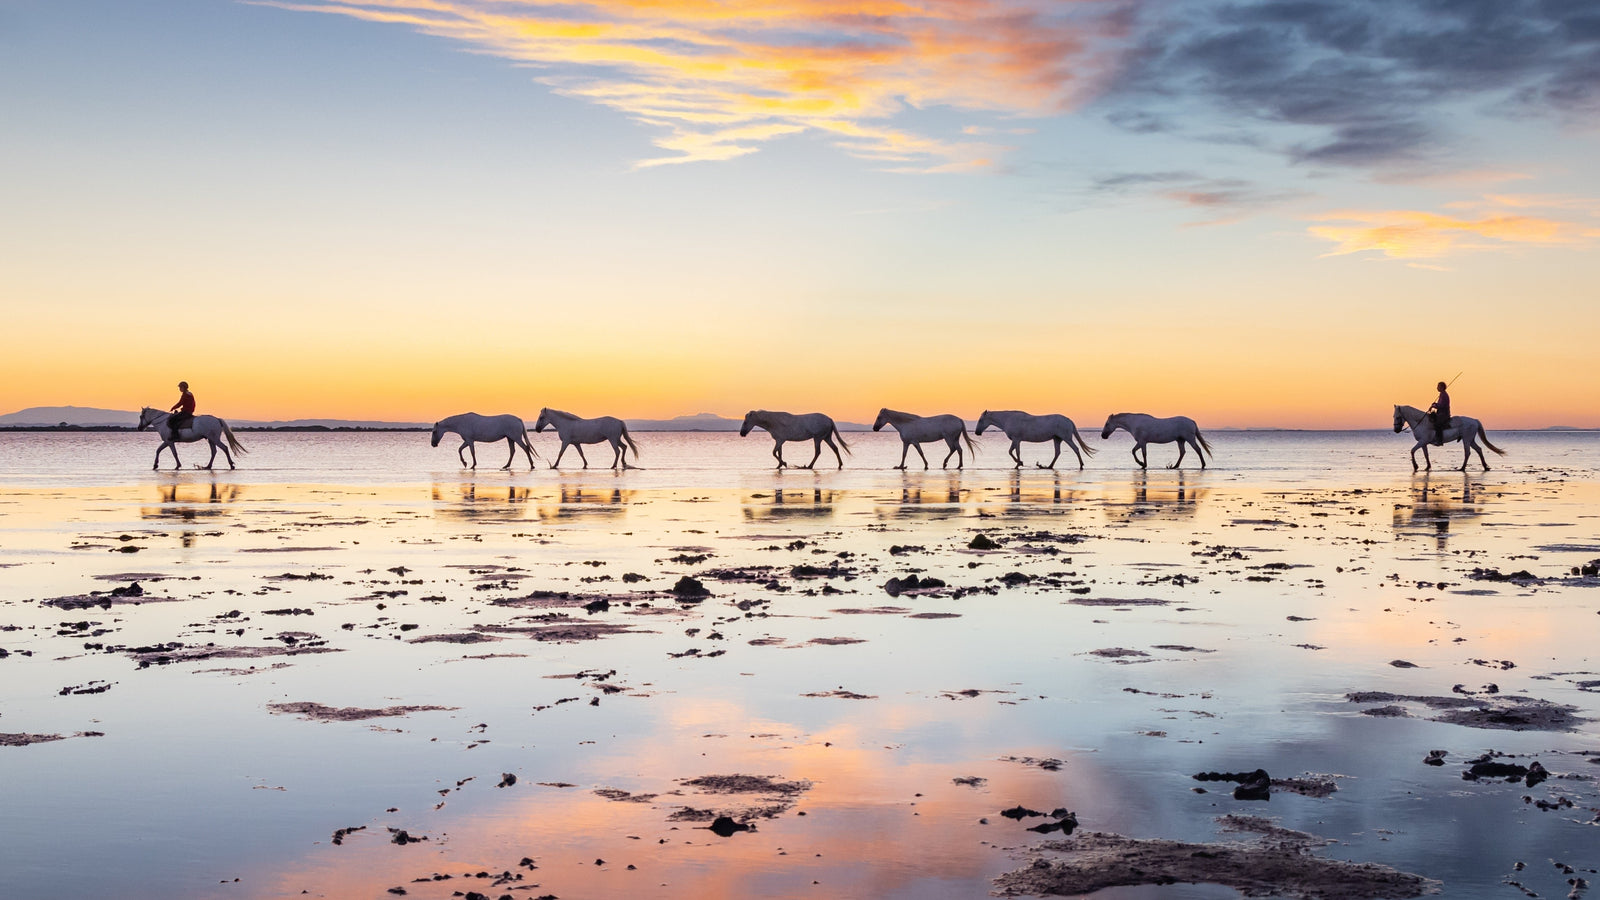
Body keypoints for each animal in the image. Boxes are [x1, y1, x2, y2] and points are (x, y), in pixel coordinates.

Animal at [972, 409, 1100, 470]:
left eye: (980, 420)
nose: (977, 432)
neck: (1008, 419)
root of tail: (1069, 420)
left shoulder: (1016, 439)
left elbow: (1012, 452)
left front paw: (1019, 463)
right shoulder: (1017, 440)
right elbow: (1015, 452)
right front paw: (1019, 463)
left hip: (1066, 438)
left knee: (1076, 449)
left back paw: (1081, 465)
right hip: (1057, 439)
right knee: (1057, 453)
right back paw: (1049, 466)